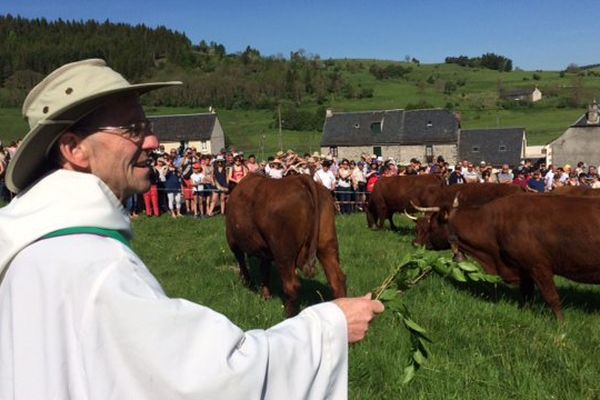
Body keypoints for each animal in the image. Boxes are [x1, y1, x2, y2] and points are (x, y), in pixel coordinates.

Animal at [225, 173, 346, 318]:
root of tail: (300, 179)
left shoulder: (233, 242)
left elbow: (242, 263)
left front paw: (247, 282)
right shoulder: (265, 251)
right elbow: (264, 270)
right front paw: (265, 296)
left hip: (283, 252)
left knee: (291, 285)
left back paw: (288, 316)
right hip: (327, 244)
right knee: (337, 280)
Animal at [442, 194, 600, 318]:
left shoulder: (538, 265)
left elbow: (552, 297)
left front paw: (561, 324)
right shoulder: (524, 268)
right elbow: (527, 294)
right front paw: (526, 314)